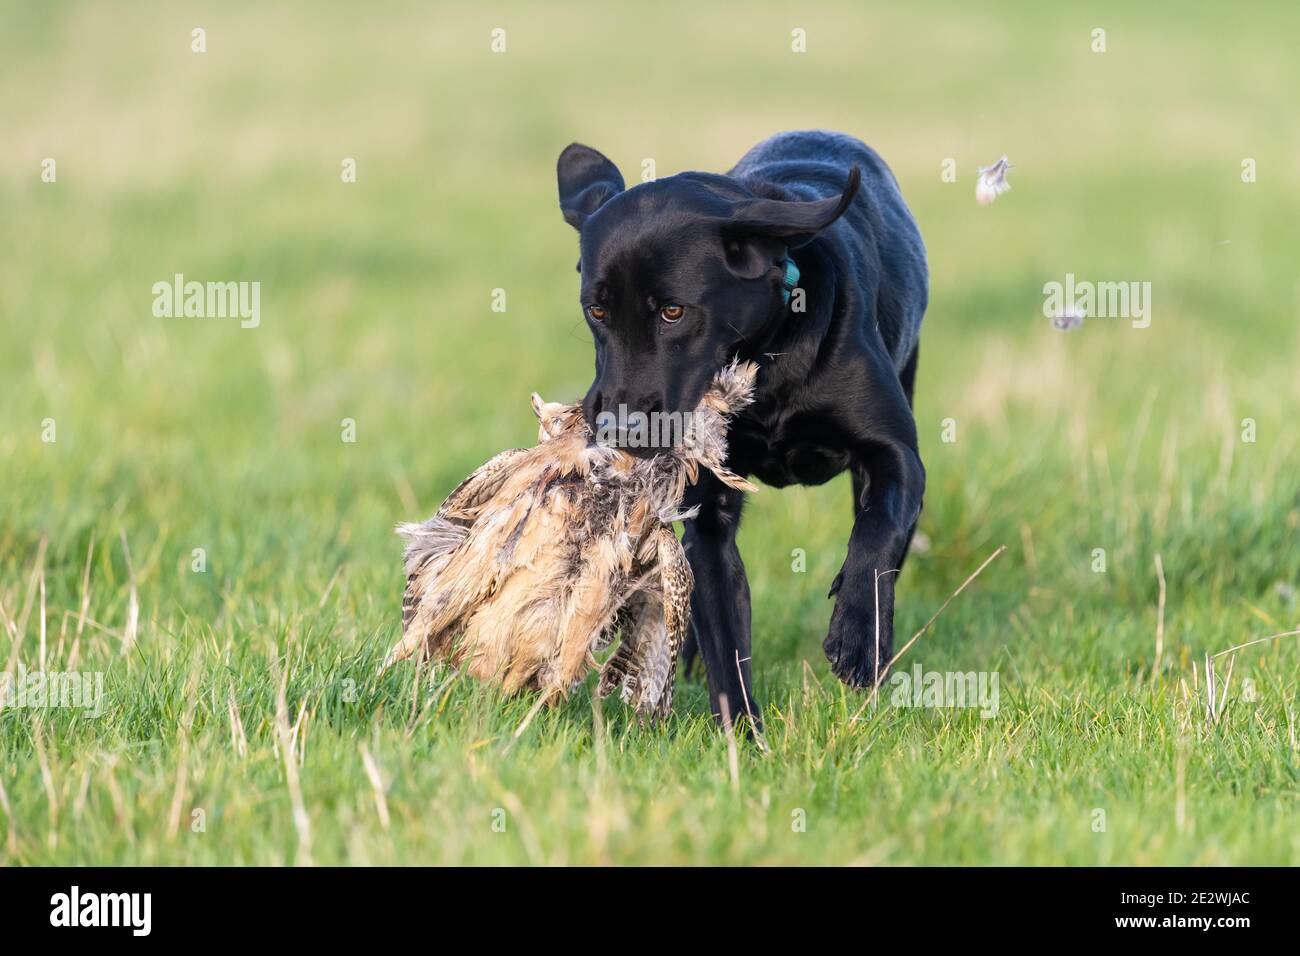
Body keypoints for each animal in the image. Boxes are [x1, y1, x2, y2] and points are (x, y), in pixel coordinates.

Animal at [556, 127, 925, 723]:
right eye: (597, 311)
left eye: (674, 312)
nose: (619, 427)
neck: (766, 365)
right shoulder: (708, 514)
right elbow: (723, 632)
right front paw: (743, 734)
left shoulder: (896, 456)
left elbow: (877, 535)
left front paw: (858, 636)